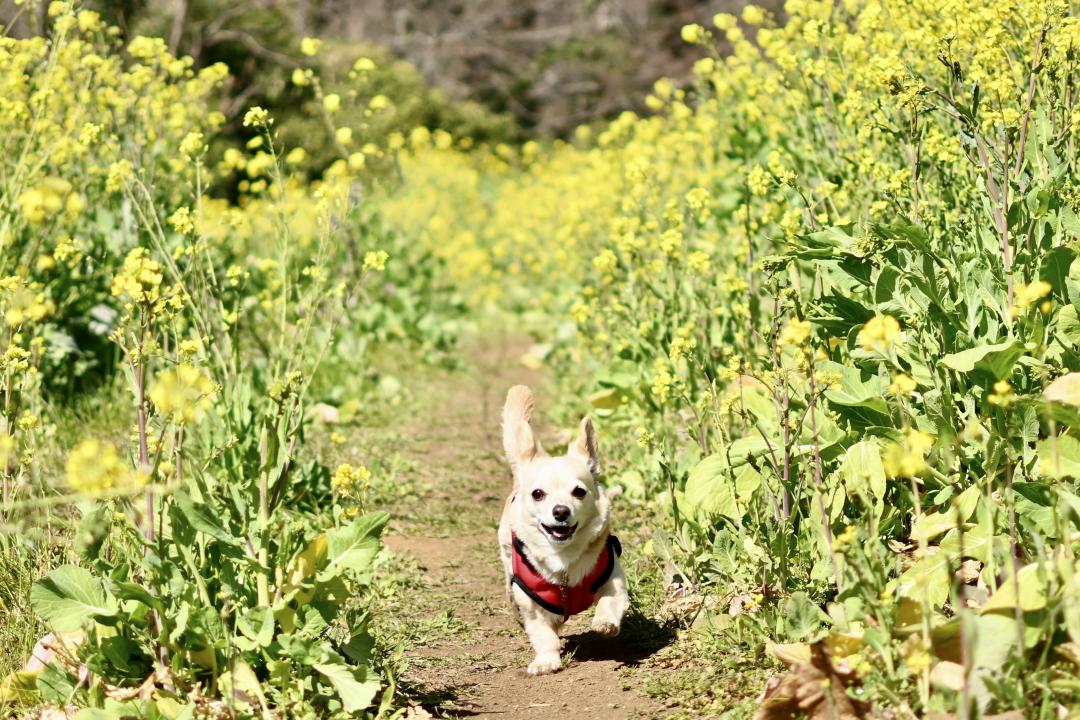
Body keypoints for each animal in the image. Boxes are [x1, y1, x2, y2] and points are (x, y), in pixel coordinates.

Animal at [498, 386, 630, 673]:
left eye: (579, 491)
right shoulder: (532, 605)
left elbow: (609, 601)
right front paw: (546, 660)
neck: (564, 557)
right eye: (538, 494)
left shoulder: (613, 578)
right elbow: (542, 633)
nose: (560, 511)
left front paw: (605, 622)